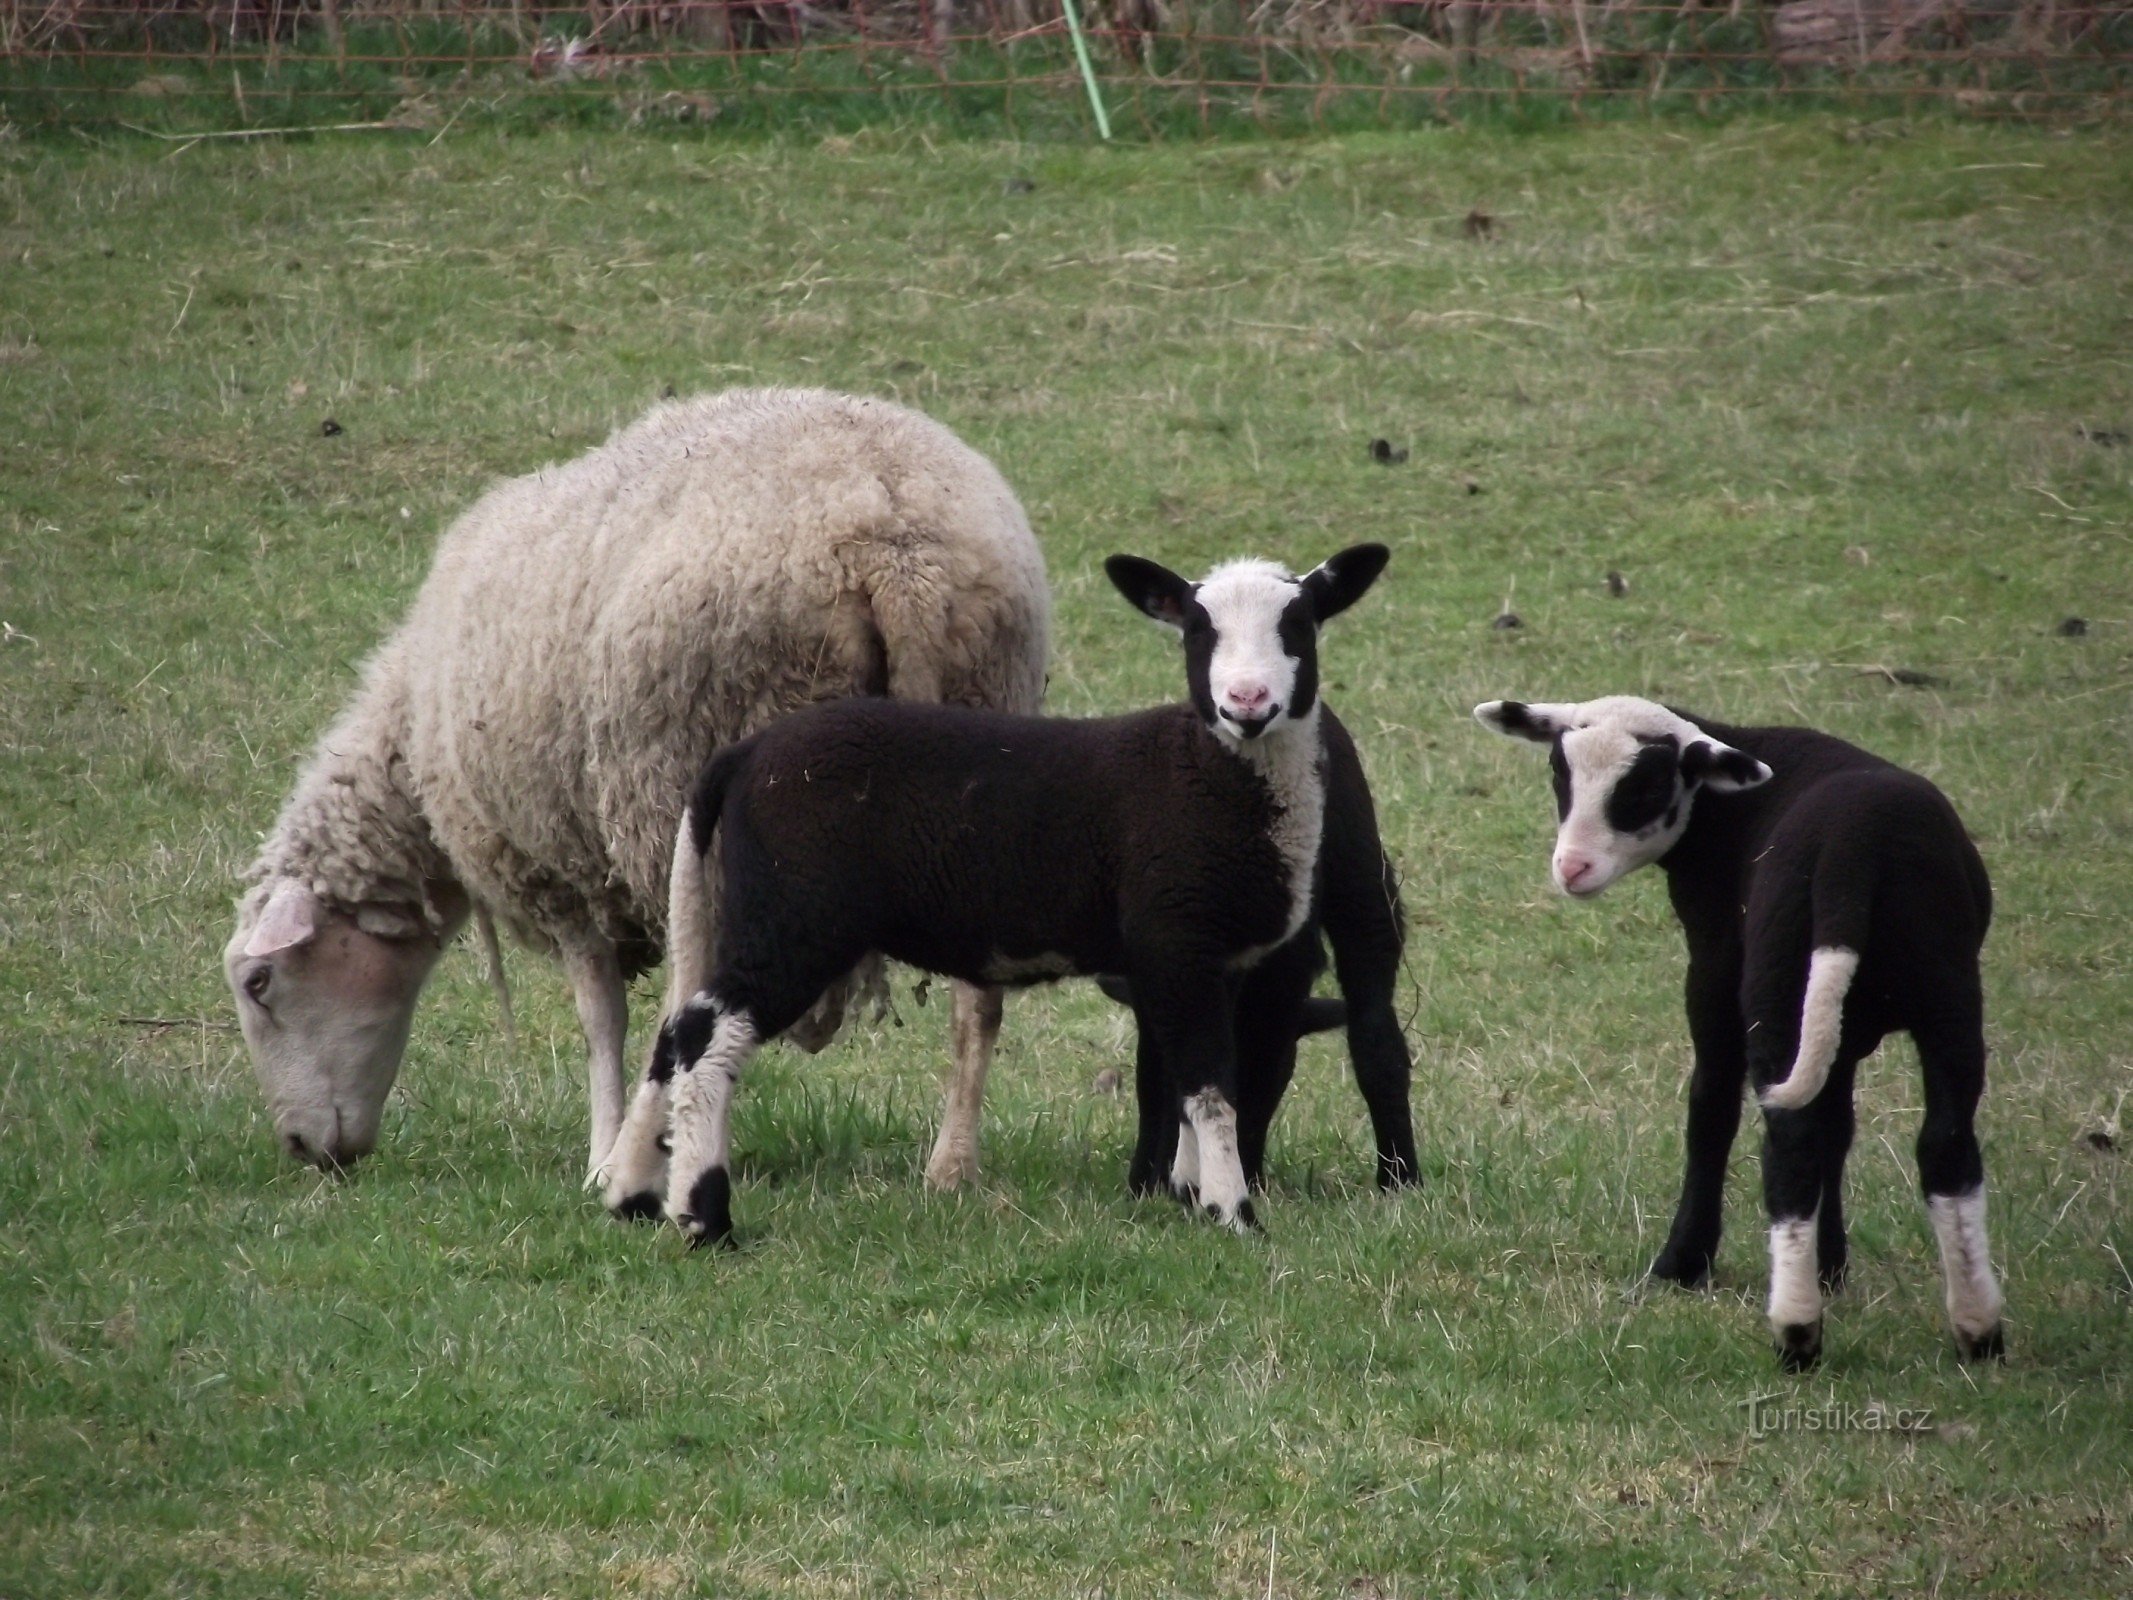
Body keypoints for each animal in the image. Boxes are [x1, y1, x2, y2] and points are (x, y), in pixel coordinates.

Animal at [222, 390, 1049, 1194]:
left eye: (260, 983)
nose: (302, 1149)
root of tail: (897, 549)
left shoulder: (560, 868)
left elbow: (600, 1019)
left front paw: (599, 1155)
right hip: (982, 734)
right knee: (976, 1002)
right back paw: (950, 1169)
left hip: (684, 795)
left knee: (703, 999)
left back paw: (658, 1164)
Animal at [601, 550, 1399, 1254]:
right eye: (1198, 631)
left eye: (1300, 623)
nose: (1248, 704)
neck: (1211, 775)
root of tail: (745, 756)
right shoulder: (1178, 940)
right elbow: (1210, 1085)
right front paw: (1233, 1214)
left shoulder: (1212, 962)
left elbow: (1185, 1080)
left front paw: (1191, 1197)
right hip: (795, 913)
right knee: (709, 1037)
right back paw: (705, 1220)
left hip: (742, 909)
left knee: (678, 1030)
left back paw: (635, 1196)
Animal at [1484, 695, 1996, 1373]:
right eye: (1558, 775)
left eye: (1647, 787)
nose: (1572, 869)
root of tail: (1854, 852)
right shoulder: (1835, 1026)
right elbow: (1838, 1126)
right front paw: (1833, 1265)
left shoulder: (1716, 964)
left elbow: (1712, 1110)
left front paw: (1683, 1263)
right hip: (1945, 987)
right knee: (1945, 1143)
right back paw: (1978, 1330)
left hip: (1777, 978)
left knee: (1790, 1143)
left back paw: (1797, 1330)